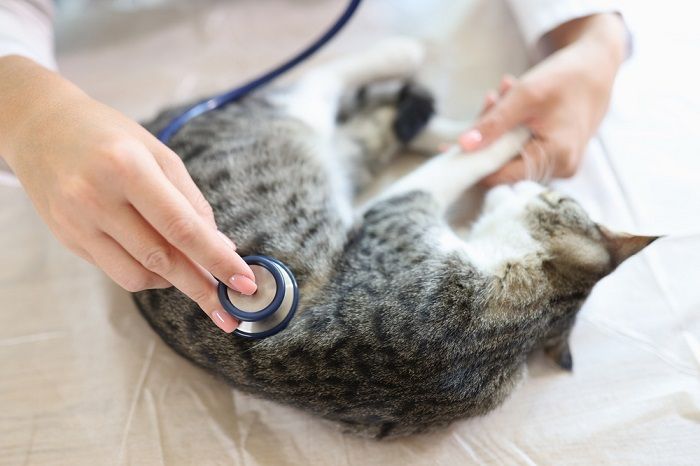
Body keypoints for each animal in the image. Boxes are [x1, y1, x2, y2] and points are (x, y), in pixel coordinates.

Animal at [134, 38, 660, 438]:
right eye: (558, 195)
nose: (534, 181)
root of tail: (155, 124)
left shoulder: (392, 212)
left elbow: (461, 160)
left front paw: (514, 132)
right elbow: (466, 155)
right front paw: (520, 129)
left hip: (305, 134)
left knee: (323, 90)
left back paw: (412, 68)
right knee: (329, 90)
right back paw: (432, 84)